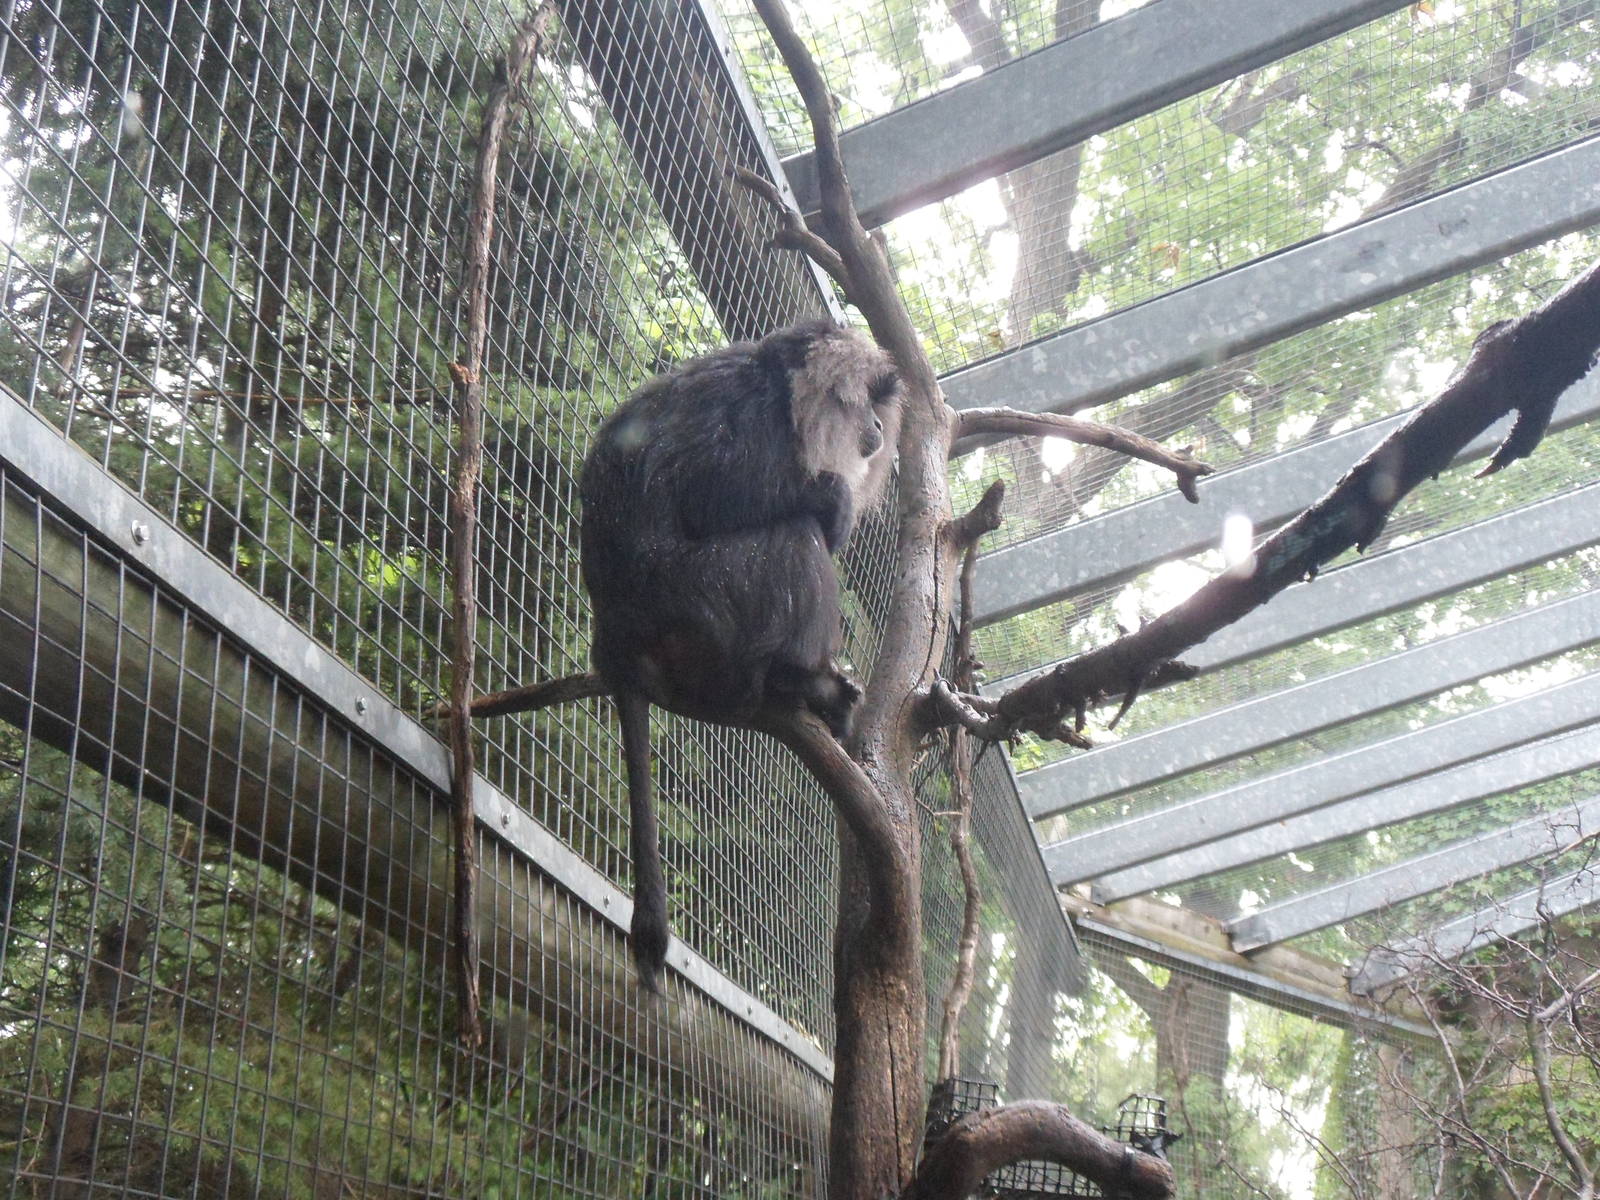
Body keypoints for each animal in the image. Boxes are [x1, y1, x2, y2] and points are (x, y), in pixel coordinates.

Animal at [578, 319, 902, 992]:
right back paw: (803, 680)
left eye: (881, 410)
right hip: (699, 599)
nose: (879, 429)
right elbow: (713, 492)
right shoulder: (750, 413)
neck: (780, 393)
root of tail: (613, 636)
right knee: (794, 538)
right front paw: (830, 500)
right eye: (863, 401)